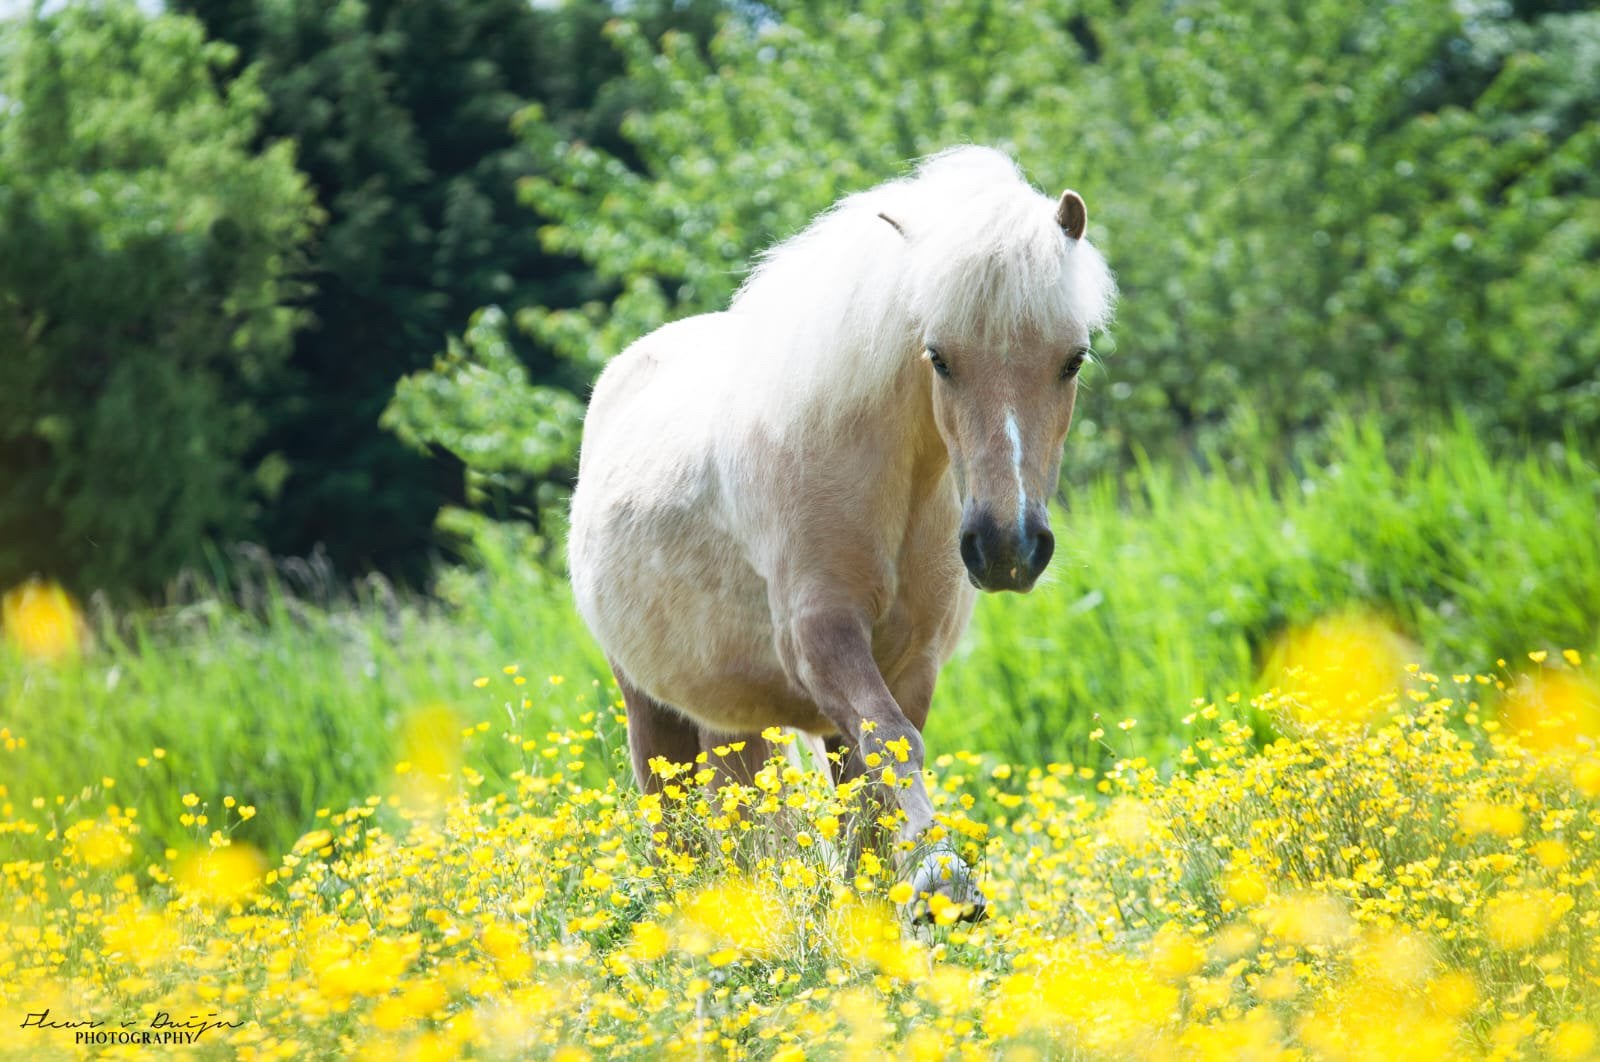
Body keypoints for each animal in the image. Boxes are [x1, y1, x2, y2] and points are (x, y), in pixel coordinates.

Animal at [568, 146, 1116, 918]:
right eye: (939, 357)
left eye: (1072, 359)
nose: (1007, 548)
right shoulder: (821, 640)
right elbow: (893, 743)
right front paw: (943, 877)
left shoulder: (909, 664)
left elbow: (869, 798)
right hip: (651, 712)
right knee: (675, 831)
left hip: (735, 719)